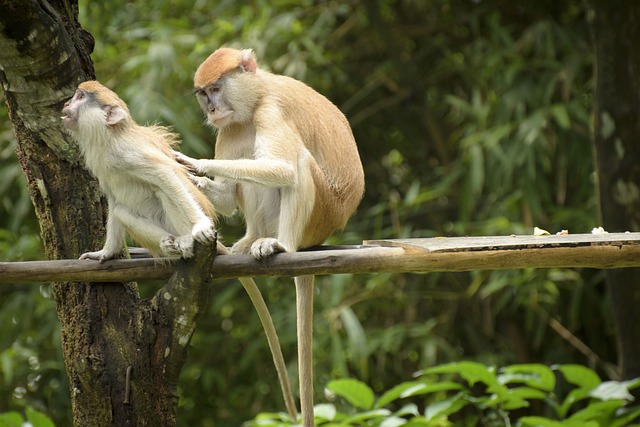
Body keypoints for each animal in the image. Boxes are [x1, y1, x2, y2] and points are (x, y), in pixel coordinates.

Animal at [182, 48, 368, 426]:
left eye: (217, 88)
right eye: (203, 93)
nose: (212, 110)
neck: (256, 93)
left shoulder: (270, 111)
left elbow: (283, 168)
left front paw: (195, 162)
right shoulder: (230, 126)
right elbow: (228, 195)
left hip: (320, 214)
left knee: (296, 164)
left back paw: (281, 244)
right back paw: (249, 240)